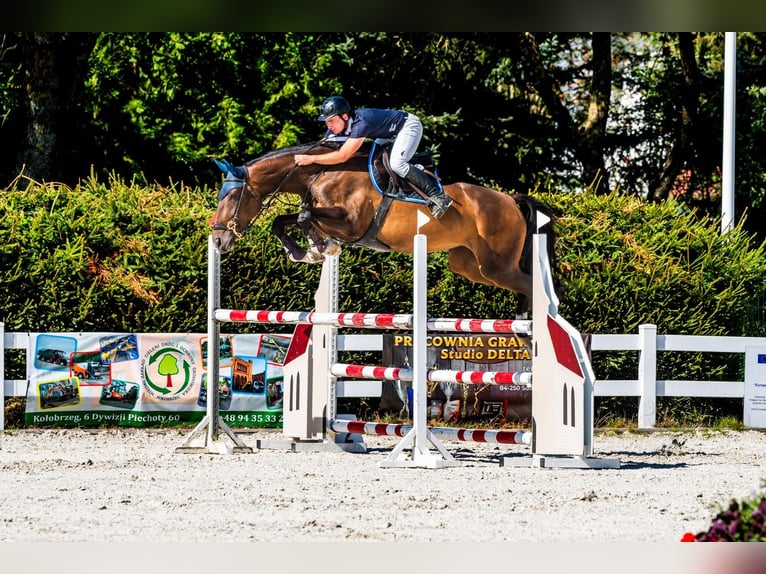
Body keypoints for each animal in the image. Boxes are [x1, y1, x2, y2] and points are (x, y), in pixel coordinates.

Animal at [210, 141, 560, 318]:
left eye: (231, 197)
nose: (217, 239)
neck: (321, 172)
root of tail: (510, 200)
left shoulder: (352, 223)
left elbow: (304, 215)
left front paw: (318, 248)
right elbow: (285, 219)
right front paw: (306, 251)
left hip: (498, 266)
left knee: (534, 287)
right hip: (471, 266)